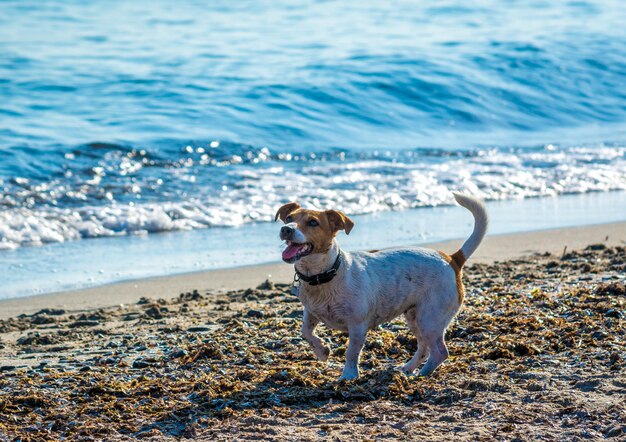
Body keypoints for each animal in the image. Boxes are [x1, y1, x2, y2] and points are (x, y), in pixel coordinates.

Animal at [274, 193, 488, 380]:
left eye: (313, 222)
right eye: (289, 218)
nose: (286, 229)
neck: (324, 275)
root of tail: (452, 259)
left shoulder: (357, 325)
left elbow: (351, 353)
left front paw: (348, 376)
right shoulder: (311, 312)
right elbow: (306, 332)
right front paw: (322, 351)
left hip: (430, 319)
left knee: (440, 352)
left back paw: (422, 374)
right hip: (415, 317)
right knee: (424, 348)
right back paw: (408, 368)